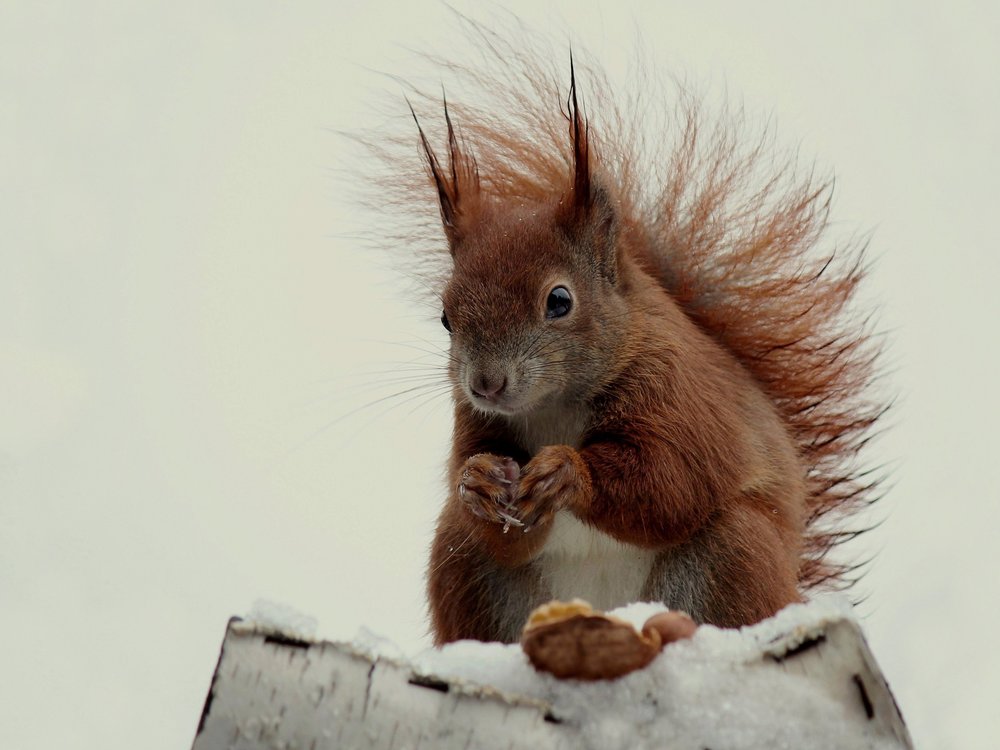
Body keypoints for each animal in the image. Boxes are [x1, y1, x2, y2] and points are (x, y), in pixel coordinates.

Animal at [382, 35, 884, 648]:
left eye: (559, 301)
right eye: (446, 317)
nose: (485, 384)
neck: (555, 407)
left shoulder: (681, 395)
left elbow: (671, 482)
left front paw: (568, 472)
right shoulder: (473, 423)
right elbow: (498, 523)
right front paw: (477, 483)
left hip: (731, 555)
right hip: (464, 567)